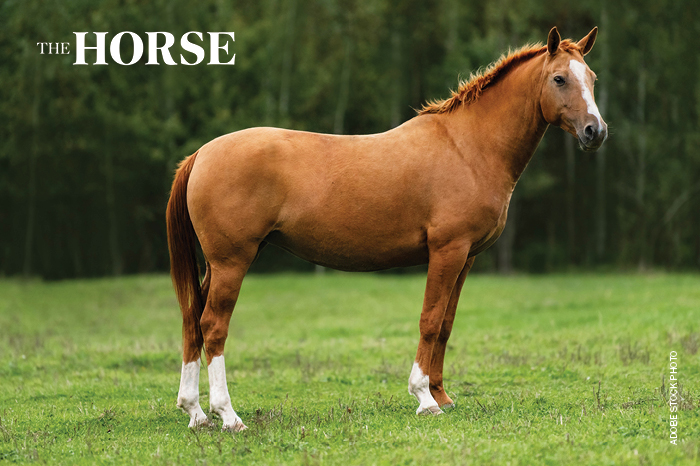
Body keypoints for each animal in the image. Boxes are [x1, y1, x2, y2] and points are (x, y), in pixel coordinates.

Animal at [167, 26, 607, 431]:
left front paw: (442, 395)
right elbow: (430, 320)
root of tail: (201, 154)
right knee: (213, 326)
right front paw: (424, 397)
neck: (467, 147)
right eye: (559, 79)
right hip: (232, 262)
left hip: (219, 265)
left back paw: (195, 412)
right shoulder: (447, 250)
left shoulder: (466, 257)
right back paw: (227, 415)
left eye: (591, 77)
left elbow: (445, 324)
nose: (596, 132)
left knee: (192, 321)